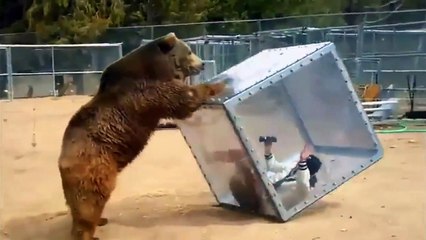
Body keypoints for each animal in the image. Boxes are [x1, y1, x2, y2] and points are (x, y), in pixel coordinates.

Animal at [58, 32, 228, 240]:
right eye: (189, 51)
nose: (202, 63)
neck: (158, 68)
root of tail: (63, 159)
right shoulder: (148, 92)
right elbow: (184, 99)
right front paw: (219, 84)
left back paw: (100, 220)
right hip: (95, 165)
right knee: (90, 201)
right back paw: (88, 232)